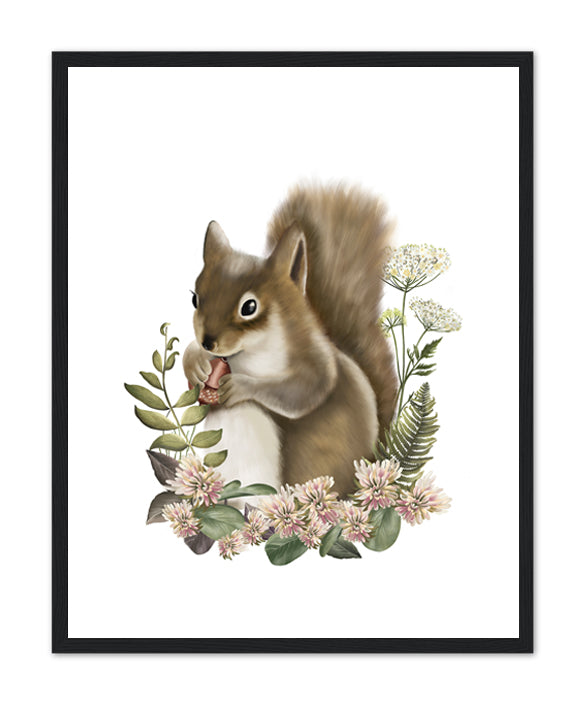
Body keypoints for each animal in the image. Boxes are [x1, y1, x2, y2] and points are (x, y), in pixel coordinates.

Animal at [183, 184, 398, 498]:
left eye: (249, 307)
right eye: (195, 299)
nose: (208, 343)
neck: (248, 352)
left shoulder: (315, 358)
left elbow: (303, 391)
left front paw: (242, 386)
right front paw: (195, 362)